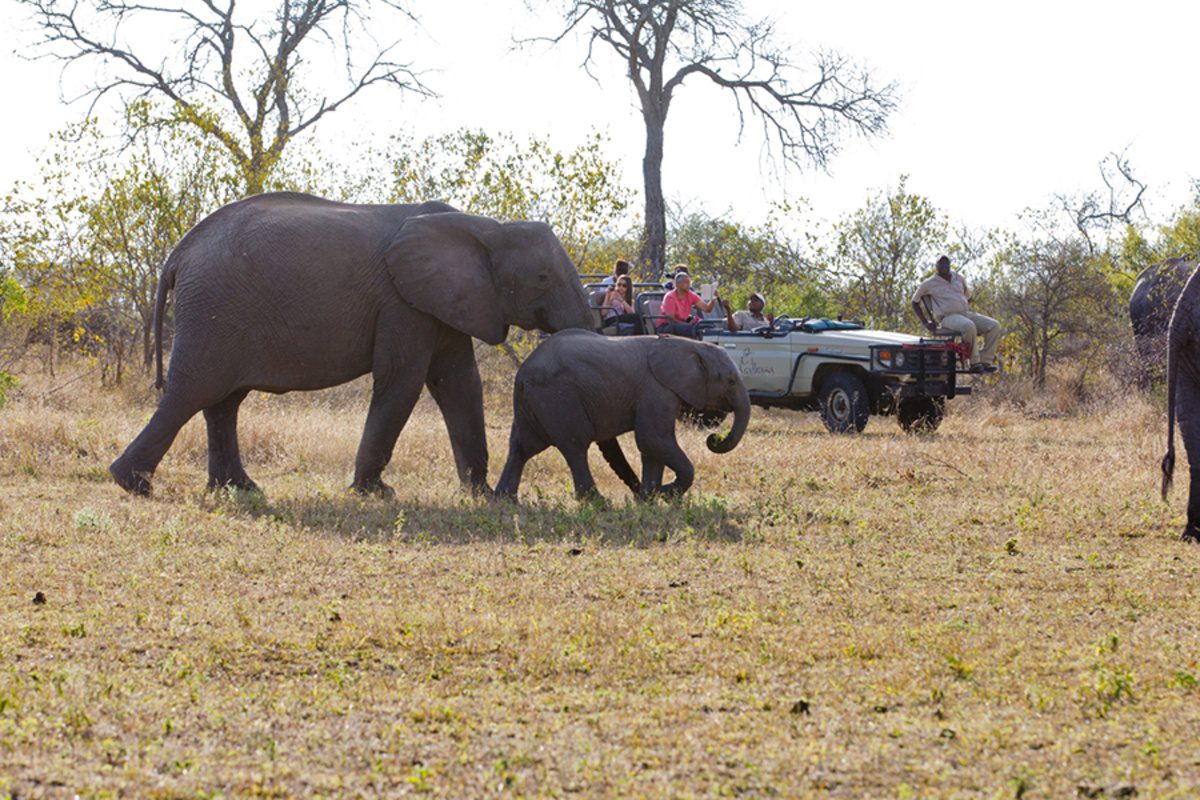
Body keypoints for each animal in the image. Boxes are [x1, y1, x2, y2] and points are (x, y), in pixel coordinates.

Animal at [110, 190, 597, 496]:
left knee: (222, 402)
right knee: (193, 392)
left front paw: (476, 493)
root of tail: (177, 253)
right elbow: (403, 381)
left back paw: (239, 489)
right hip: (214, 309)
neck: (487, 227)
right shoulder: (403, 302)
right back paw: (132, 484)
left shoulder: (443, 300)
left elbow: (458, 382)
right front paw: (376, 493)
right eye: (542, 278)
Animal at [492, 328, 744, 496]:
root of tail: (522, 373)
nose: (713, 438)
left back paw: (504, 499)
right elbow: (653, 439)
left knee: (522, 446)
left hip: (534, 402)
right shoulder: (656, 390)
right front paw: (665, 494)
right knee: (575, 446)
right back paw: (597, 503)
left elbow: (651, 447)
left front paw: (650, 498)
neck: (690, 345)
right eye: (730, 381)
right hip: (557, 397)